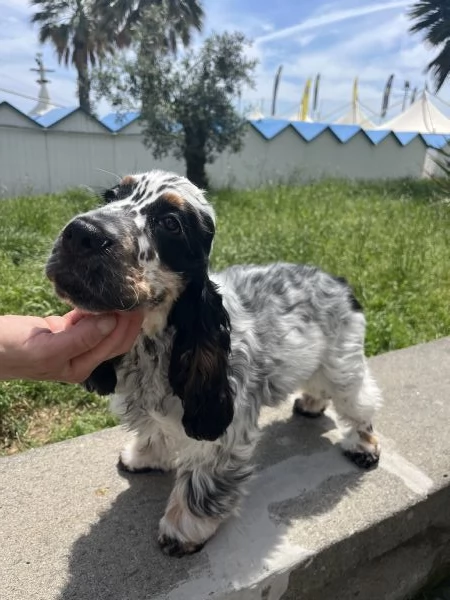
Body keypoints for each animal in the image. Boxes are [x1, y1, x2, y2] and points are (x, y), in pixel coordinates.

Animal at [47, 169, 382, 556]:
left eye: (171, 223)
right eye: (110, 196)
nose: (82, 232)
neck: (154, 343)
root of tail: (339, 281)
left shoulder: (224, 430)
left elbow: (201, 482)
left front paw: (183, 528)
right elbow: (154, 431)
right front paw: (144, 457)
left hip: (342, 363)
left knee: (361, 402)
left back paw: (364, 446)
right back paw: (311, 404)